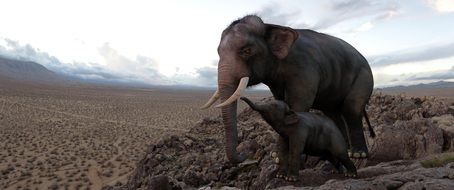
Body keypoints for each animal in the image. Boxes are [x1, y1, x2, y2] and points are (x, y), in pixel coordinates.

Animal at [201, 15, 372, 163]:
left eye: (246, 50)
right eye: (218, 52)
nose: (245, 155)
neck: (270, 26)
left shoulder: (304, 68)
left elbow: (298, 104)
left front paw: (282, 157)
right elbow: (281, 103)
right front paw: (277, 156)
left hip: (363, 77)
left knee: (351, 109)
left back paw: (358, 154)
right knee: (333, 114)